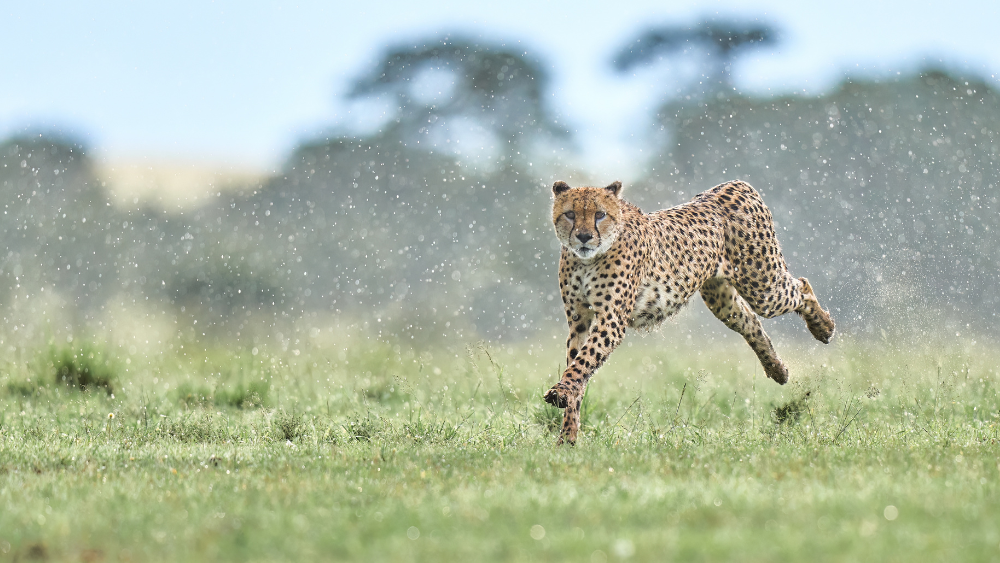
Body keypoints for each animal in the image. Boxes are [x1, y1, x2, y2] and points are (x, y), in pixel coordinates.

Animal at [544, 181, 832, 446]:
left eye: (600, 214)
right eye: (570, 214)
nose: (583, 237)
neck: (587, 259)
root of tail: (732, 185)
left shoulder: (611, 319)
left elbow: (582, 363)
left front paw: (560, 394)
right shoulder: (579, 320)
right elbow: (578, 367)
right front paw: (567, 437)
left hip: (761, 284)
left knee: (801, 287)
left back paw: (824, 328)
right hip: (721, 298)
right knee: (749, 320)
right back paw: (778, 370)